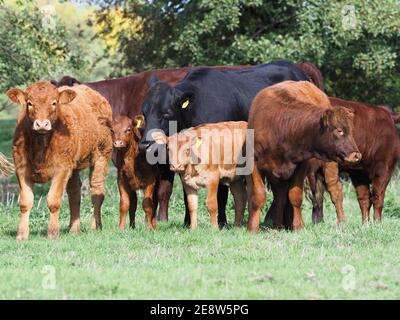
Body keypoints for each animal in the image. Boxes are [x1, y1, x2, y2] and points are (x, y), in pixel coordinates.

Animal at [7, 82, 112, 240]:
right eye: (29, 103)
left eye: (54, 103)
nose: (42, 124)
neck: (41, 144)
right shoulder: (21, 168)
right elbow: (25, 202)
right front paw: (22, 234)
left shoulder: (62, 169)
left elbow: (53, 200)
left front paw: (52, 233)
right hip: (73, 165)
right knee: (74, 193)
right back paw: (74, 229)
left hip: (102, 156)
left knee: (97, 191)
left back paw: (95, 227)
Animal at [141, 60, 316, 228]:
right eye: (144, 112)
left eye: (166, 113)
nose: (146, 143)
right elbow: (188, 195)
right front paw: (187, 223)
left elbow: (221, 195)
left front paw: (222, 222)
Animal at [247, 82, 362, 232]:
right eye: (339, 130)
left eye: (351, 131)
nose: (356, 155)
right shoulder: (254, 162)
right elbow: (259, 195)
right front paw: (253, 228)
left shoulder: (301, 165)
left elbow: (295, 196)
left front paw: (298, 226)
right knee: (281, 197)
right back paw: (278, 226)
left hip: (329, 165)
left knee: (335, 190)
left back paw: (342, 221)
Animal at [306, 97, 400, 225]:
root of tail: (387, 113)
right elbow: (317, 196)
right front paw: (318, 223)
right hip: (358, 172)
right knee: (363, 197)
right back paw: (364, 224)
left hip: (383, 167)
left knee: (375, 196)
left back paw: (374, 223)